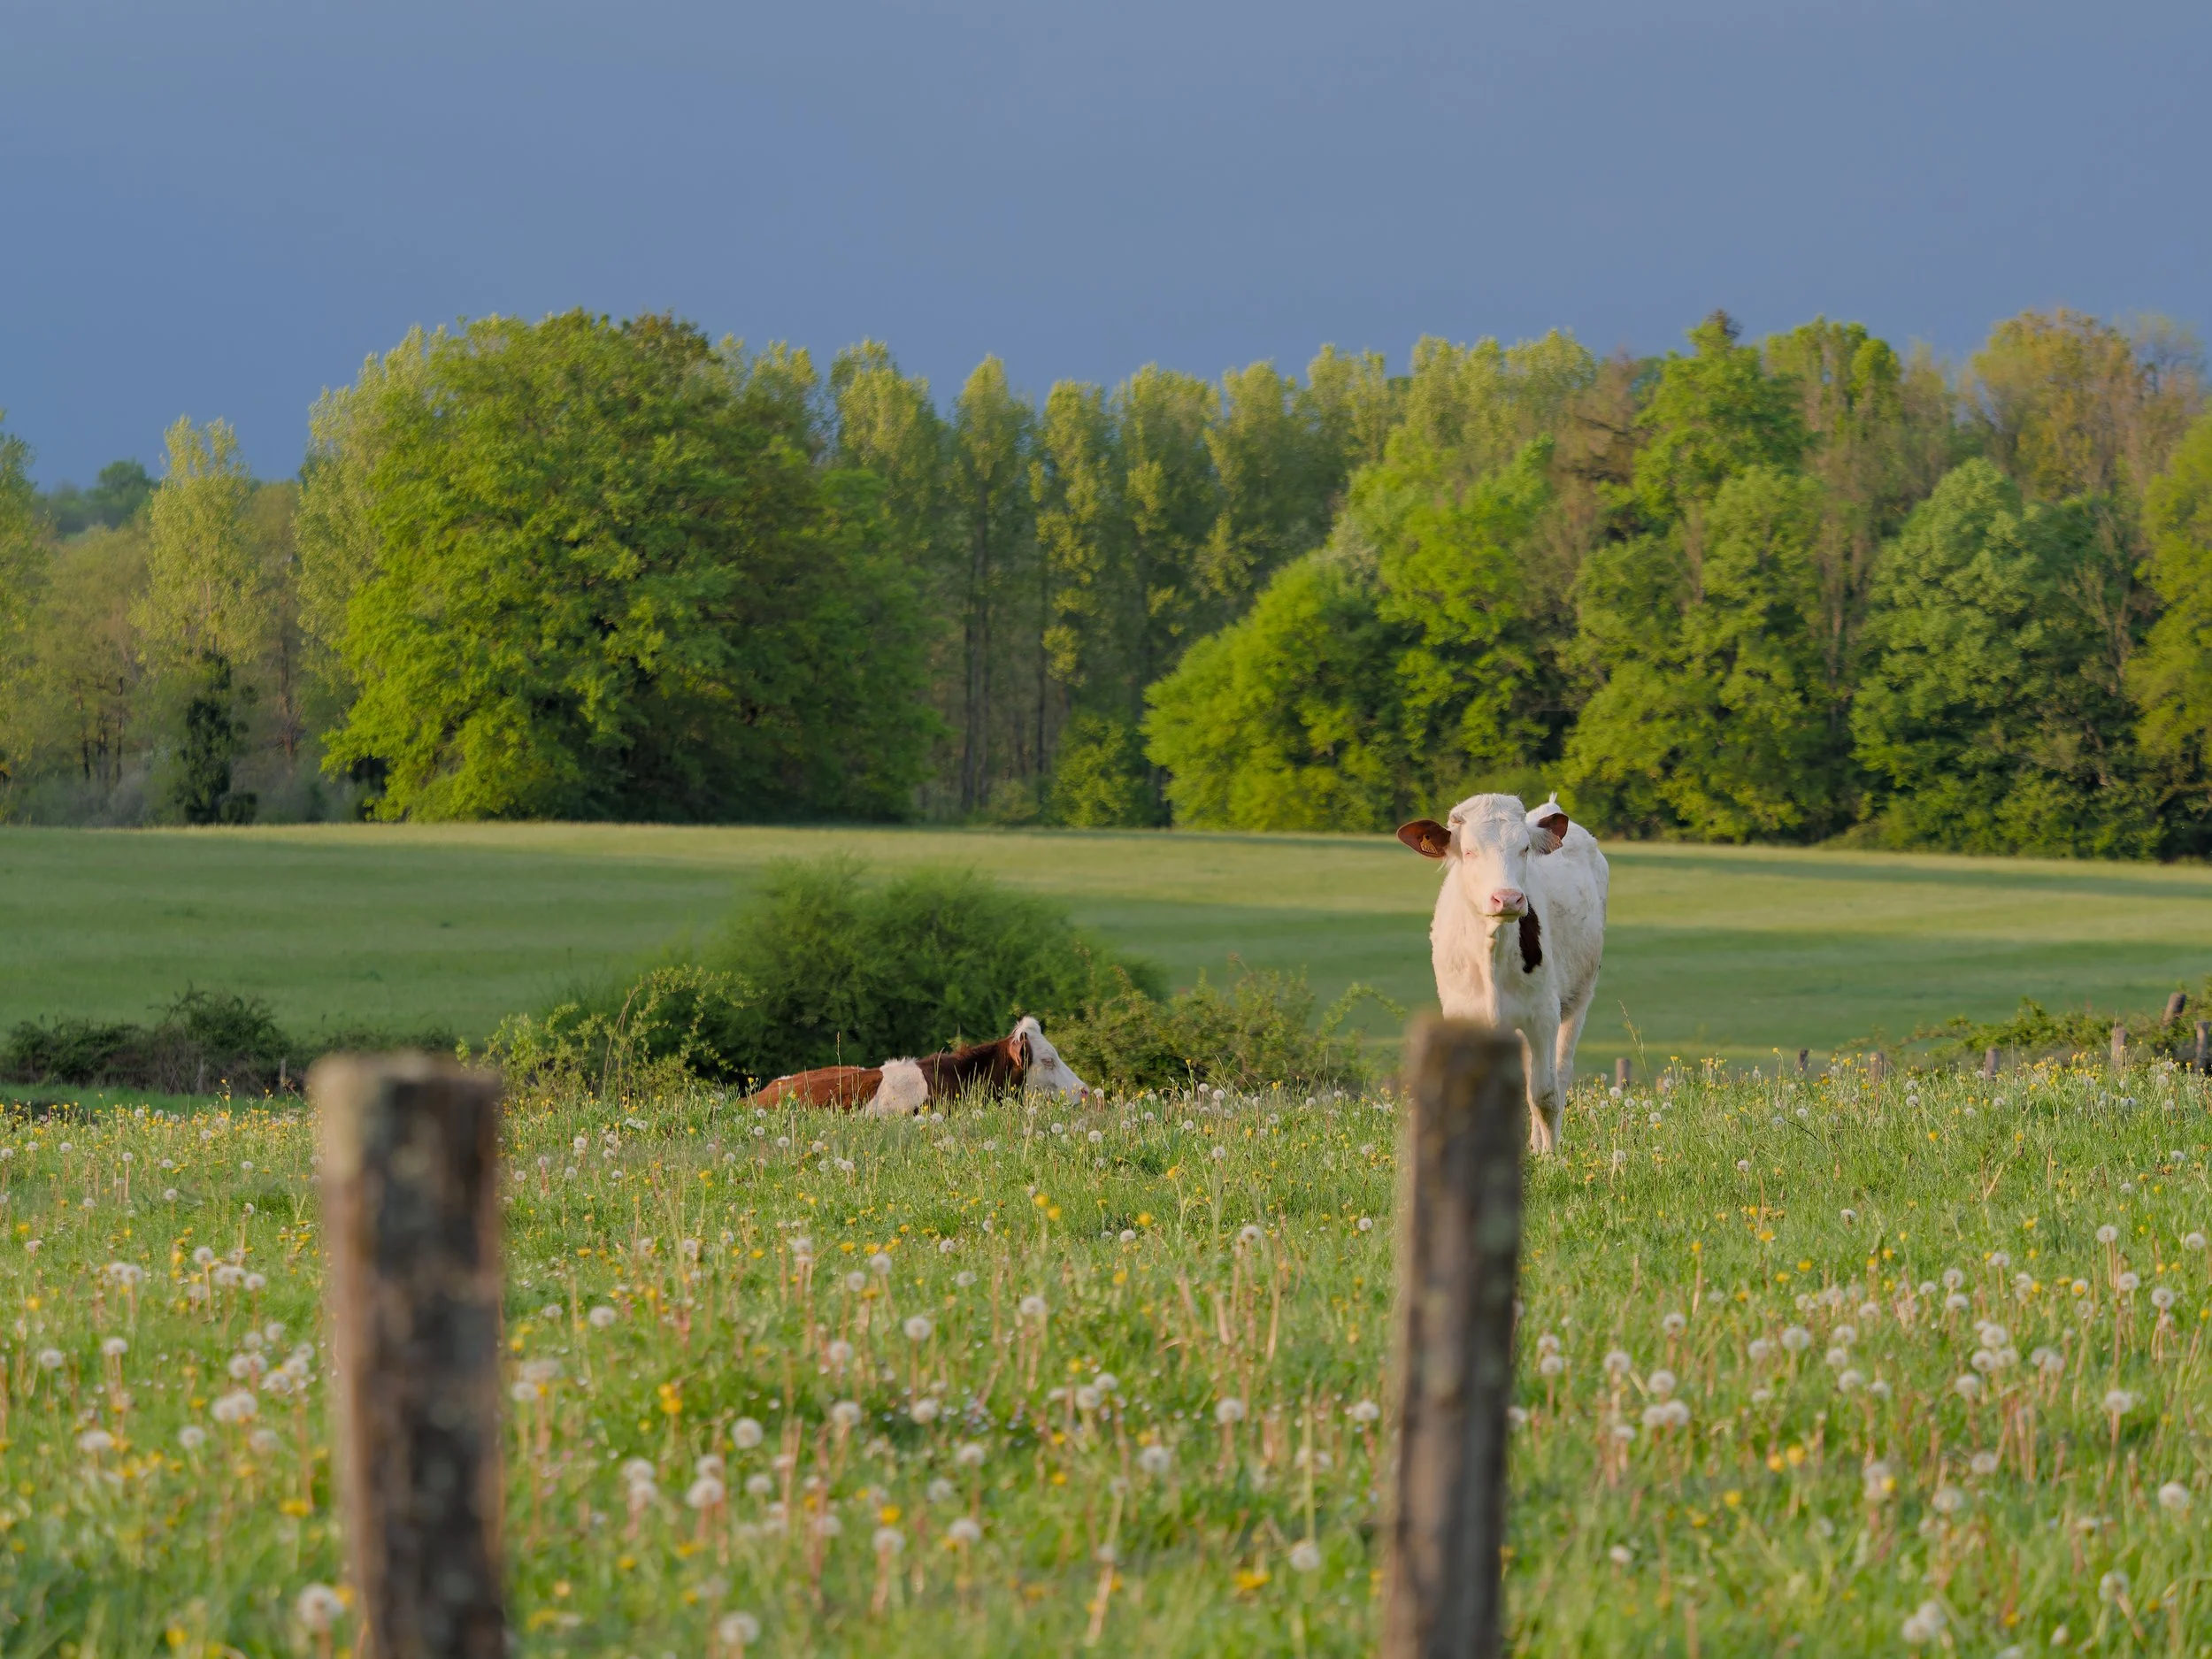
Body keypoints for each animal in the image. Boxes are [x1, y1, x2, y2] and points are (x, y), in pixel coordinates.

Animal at [1396, 792, 1608, 1155]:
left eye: (1524, 848)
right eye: (1469, 851)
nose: (1507, 898)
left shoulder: (1543, 1014)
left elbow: (1544, 1095)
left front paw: (1549, 1158)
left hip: (1579, 997)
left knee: (1559, 1072)